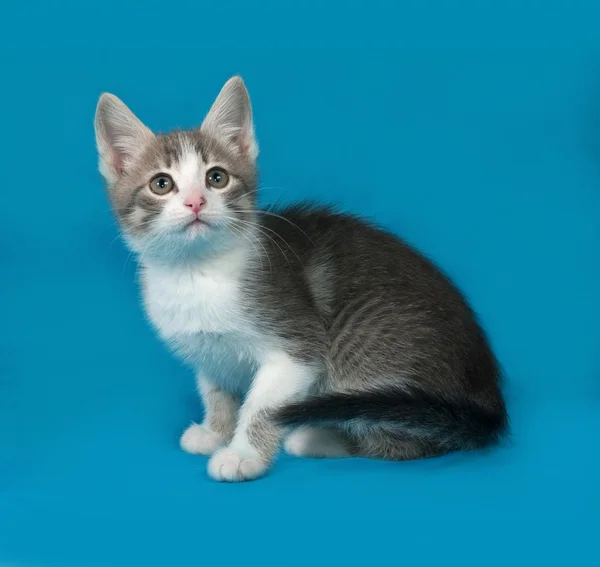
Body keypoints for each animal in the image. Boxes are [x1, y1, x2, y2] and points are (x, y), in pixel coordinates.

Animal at [94, 76, 506, 484]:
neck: (196, 272)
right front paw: (216, 432)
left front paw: (243, 454)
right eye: (161, 184)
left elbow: (262, 406)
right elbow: (215, 390)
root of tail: (491, 403)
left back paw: (316, 437)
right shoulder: (207, 352)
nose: (196, 202)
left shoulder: (296, 348)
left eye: (217, 178)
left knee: (410, 442)